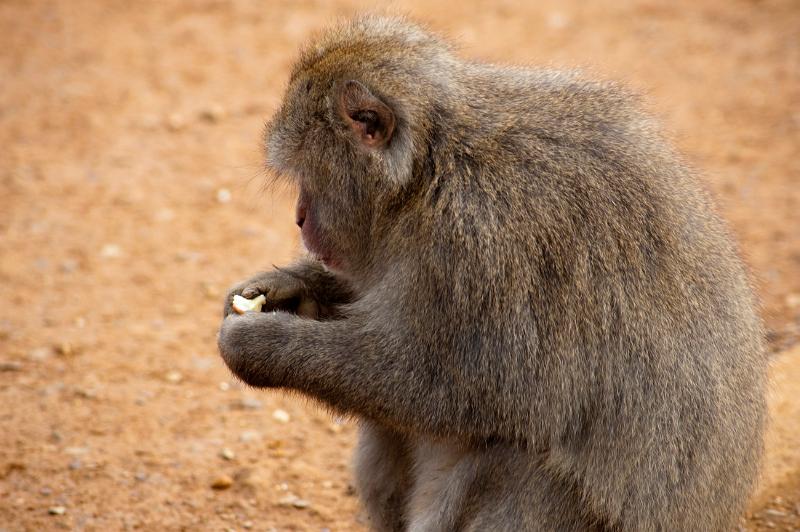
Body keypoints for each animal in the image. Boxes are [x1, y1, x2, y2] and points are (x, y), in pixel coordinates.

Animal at [217, 15, 767, 531]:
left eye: (307, 176)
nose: (300, 219)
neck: (429, 168)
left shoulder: (478, 244)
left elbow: (449, 389)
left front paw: (264, 346)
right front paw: (286, 290)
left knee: (511, 459)